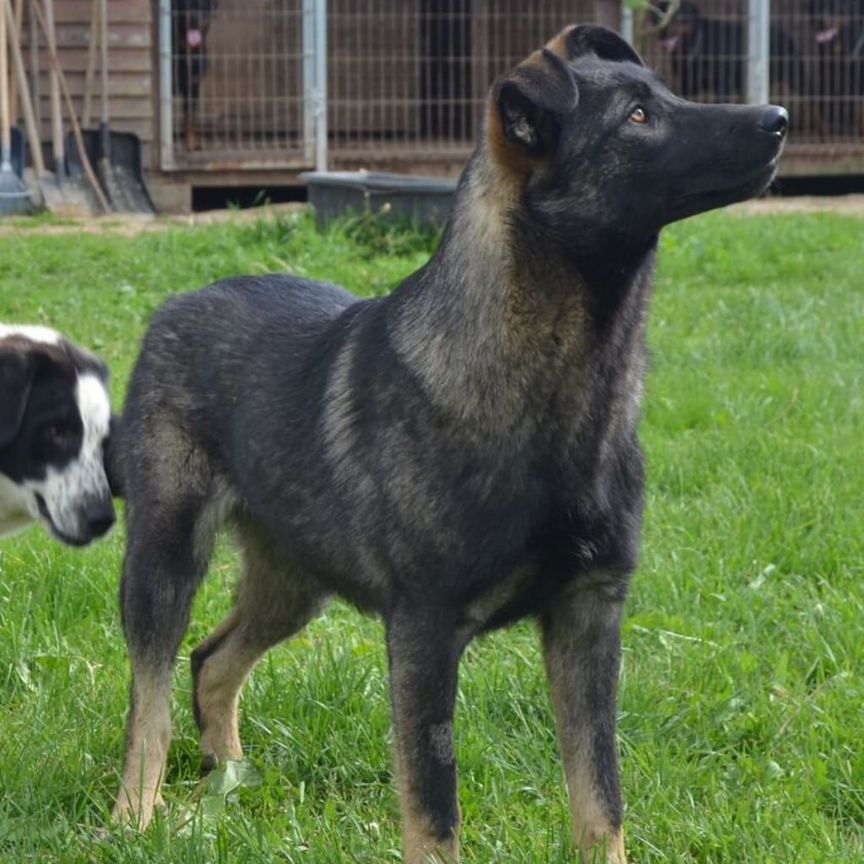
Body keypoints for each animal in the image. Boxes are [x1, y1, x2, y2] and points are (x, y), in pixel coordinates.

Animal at [111, 23, 788, 860]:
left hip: (296, 581)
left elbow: (602, 797)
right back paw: (134, 813)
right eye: (637, 116)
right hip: (165, 563)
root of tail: (174, 306)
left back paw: (226, 777)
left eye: (664, 94)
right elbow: (436, 811)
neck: (554, 393)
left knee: (211, 662)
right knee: (151, 699)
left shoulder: (590, 619)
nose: (779, 119)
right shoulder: (425, 637)